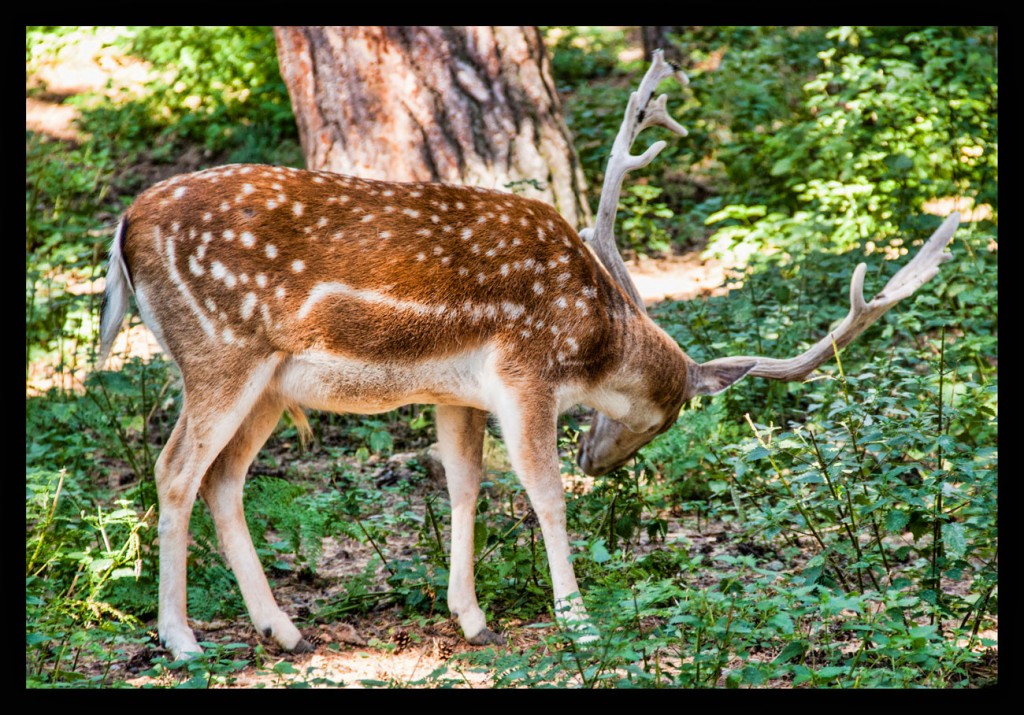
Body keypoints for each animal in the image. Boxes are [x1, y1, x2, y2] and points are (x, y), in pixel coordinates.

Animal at [96, 53, 958, 659]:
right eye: (674, 412)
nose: (598, 456)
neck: (593, 337)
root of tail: (126, 226)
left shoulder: (456, 392)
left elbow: (464, 486)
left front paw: (471, 617)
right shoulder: (524, 369)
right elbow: (542, 492)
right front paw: (577, 619)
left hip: (271, 383)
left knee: (223, 480)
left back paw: (284, 629)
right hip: (220, 351)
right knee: (175, 468)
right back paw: (182, 638)